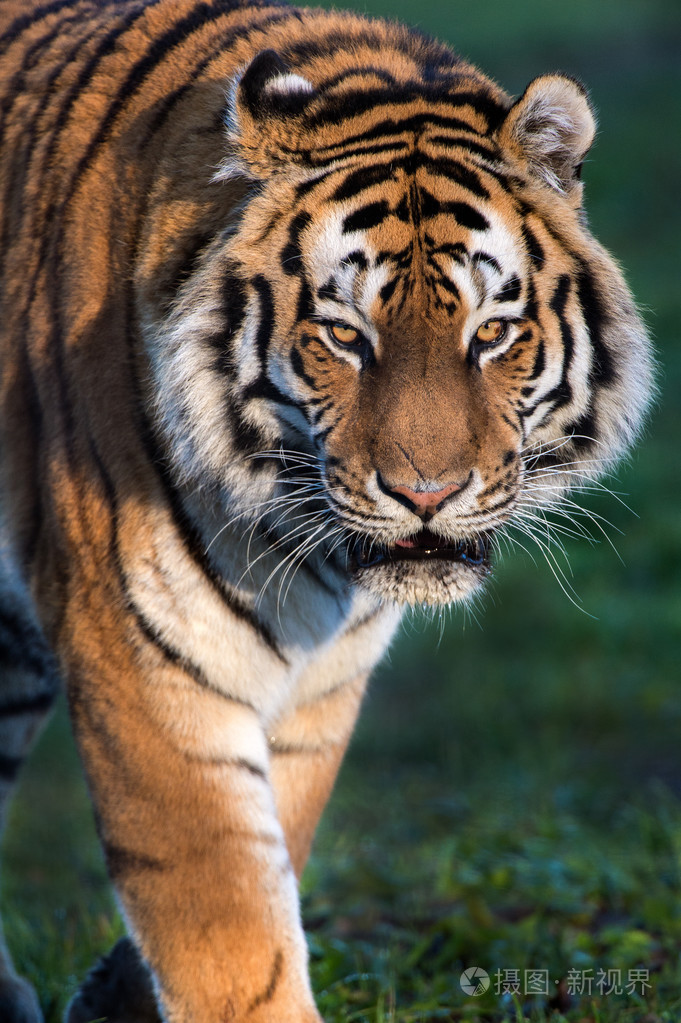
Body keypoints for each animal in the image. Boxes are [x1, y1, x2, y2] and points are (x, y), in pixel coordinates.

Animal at [0, 0, 653, 1020]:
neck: (300, 556)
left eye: (491, 333)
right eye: (345, 336)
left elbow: (277, 845)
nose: (426, 494)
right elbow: (227, 919)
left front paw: (115, 992)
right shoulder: (143, 665)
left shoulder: (321, 686)